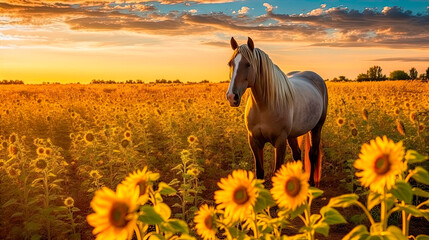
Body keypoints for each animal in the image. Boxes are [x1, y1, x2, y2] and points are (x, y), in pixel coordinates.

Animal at [224, 37, 328, 188]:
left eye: (248, 64)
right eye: (230, 63)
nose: (232, 97)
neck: (263, 107)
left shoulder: (280, 142)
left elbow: (276, 172)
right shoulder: (254, 141)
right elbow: (259, 172)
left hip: (316, 128)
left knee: (312, 154)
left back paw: (312, 183)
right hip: (292, 134)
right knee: (297, 154)